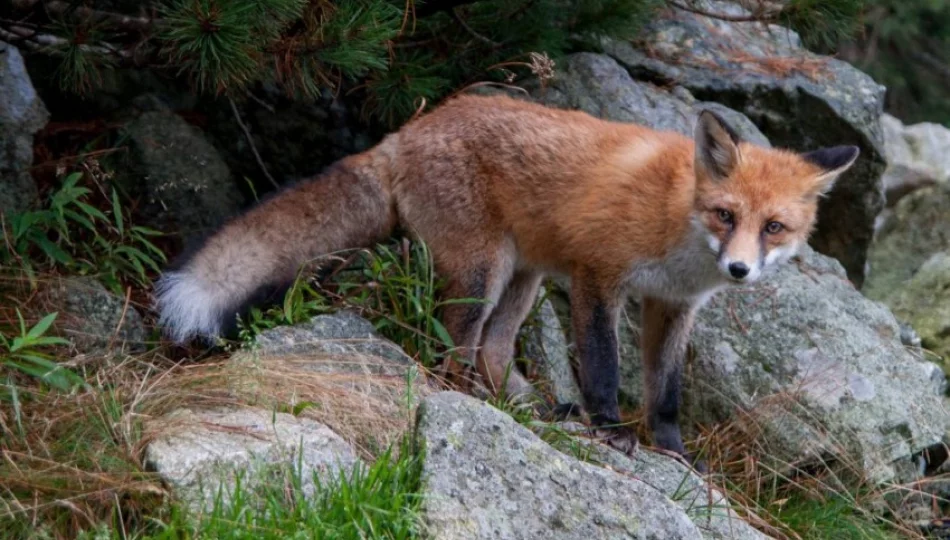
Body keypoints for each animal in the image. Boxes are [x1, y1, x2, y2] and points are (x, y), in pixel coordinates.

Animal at [154, 93, 864, 464]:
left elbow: (666, 390)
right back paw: (474, 401)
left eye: (774, 226)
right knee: (452, 350)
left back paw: (523, 405)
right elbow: (603, 365)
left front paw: (670, 448)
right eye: (726, 215)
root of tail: (407, 131)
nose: (739, 269)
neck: (677, 220)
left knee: (492, 352)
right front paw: (610, 428)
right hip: (484, 270)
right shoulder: (597, 278)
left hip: (523, 279)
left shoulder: (673, 306)